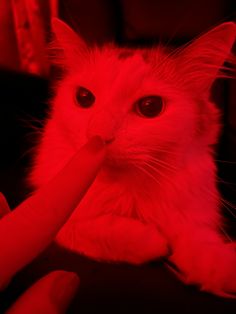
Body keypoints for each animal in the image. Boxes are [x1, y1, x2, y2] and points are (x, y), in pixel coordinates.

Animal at [30, 18, 236, 298]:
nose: (98, 136)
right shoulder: (53, 213)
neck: (128, 193)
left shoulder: (195, 218)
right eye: (83, 97)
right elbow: (93, 229)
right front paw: (154, 241)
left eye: (150, 106)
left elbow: (203, 249)